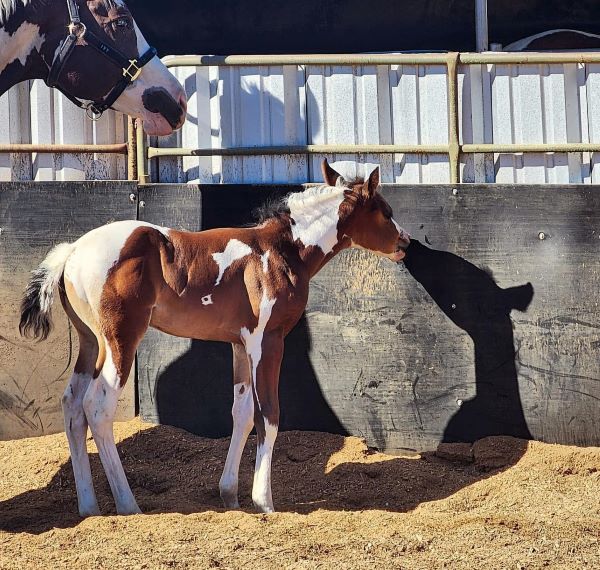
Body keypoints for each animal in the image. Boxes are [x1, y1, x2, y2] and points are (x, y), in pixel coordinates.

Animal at [19, 160, 412, 516]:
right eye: (386, 211)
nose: (405, 242)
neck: (279, 252)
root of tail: (72, 251)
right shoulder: (268, 341)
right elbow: (269, 414)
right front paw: (264, 501)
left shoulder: (240, 344)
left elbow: (242, 413)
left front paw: (230, 495)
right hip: (120, 342)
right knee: (97, 408)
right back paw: (128, 505)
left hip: (90, 342)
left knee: (72, 405)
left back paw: (89, 508)